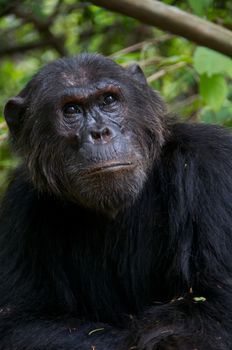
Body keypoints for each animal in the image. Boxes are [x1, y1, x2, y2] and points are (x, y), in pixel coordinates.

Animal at [0, 52, 232, 350]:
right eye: (71, 110)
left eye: (108, 100)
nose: (100, 132)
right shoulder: (20, 206)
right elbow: (22, 321)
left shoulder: (213, 169)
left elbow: (211, 314)